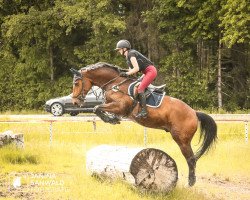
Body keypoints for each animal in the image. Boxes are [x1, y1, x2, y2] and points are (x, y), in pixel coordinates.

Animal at [70, 61, 217, 187]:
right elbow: (97, 109)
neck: (115, 83)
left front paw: (111, 119)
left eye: (76, 83)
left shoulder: (121, 106)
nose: (75, 102)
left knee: (191, 159)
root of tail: (194, 112)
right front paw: (112, 119)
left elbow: (96, 108)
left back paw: (191, 182)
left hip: (182, 139)